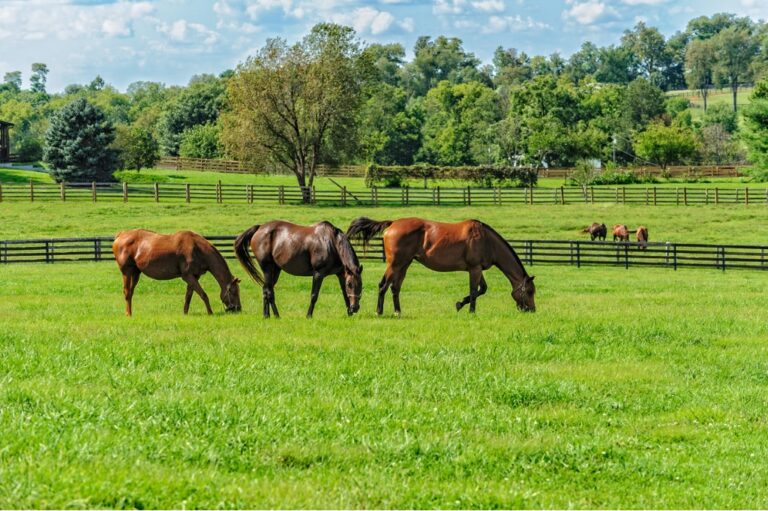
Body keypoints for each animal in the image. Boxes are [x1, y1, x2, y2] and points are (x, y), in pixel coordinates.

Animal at [112, 229, 241, 316]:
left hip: (136, 273)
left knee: (130, 293)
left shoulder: (194, 276)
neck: (197, 248)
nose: (238, 309)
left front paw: (185, 313)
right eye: (234, 292)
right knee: (127, 292)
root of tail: (121, 235)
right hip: (127, 272)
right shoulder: (187, 276)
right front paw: (210, 312)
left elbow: (188, 296)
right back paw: (128, 314)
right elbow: (203, 294)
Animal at [234, 221, 363, 318]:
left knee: (265, 289)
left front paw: (349, 314)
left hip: (275, 270)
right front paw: (309, 315)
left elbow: (345, 294)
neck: (331, 243)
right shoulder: (318, 274)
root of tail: (259, 228)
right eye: (350, 284)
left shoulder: (341, 274)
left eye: (361, 285)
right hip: (267, 268)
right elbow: (314, 295)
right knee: (269, 292)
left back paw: (266, 315)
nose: (355, 308)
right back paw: (276, 315)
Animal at [346, 217, 535, 315]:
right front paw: (470, 311)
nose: (531, 310)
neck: (487, 240)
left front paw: (460, 304)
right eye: (530, 291)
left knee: (395, 288)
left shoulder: (477, 269)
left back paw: (398, 311)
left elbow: (482, 289)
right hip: (395, 264)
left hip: (404, 265)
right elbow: (475, 291)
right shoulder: (474, 269)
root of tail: (392, 223)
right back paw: (379, 311)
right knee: (383, 285)